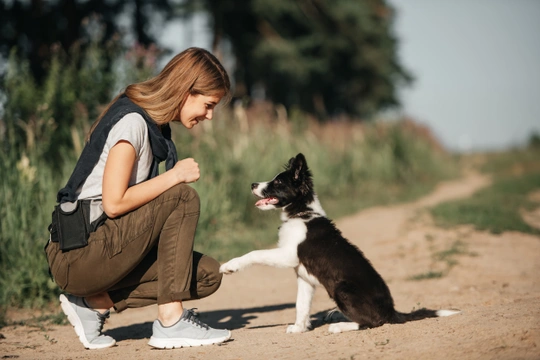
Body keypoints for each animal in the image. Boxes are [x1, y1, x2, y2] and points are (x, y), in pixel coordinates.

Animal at [219, 153, 460, 334]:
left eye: (278, 182)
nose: (253, 184)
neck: (301, 213)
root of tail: (392, 311)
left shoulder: (289, 255)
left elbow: (254, 253)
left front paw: (230, 265)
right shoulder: (303, 276)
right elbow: (301, 305)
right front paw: (299, 328)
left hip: (342, 290)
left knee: (373, 322)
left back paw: (340, 325)